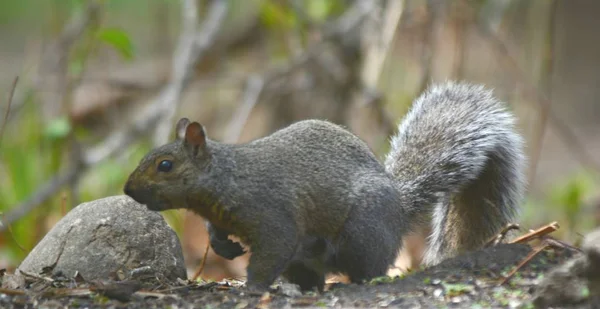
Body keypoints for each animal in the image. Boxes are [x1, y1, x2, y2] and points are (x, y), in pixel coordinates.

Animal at [125, 81, 524, 292]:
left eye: (165, 165)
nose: (128, 190)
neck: (227, 177)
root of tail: (399, 208)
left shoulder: (272, 215)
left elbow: (273, 249)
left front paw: (254, 287)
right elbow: (217, 232)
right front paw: (224, 247)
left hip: (363, 233)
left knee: (370, 268)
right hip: (311, 258)